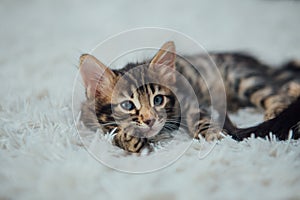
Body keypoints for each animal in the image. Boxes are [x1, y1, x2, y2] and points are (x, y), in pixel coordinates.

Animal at [79, 41, 300, 152]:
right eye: (127, 105)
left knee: (274, 92)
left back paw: (279, 105)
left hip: (241, 77)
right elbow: (111, 132)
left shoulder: (191, 99)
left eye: (158, 100)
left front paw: (211, 134)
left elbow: (200, 119)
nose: (150, 121)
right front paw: (127, 138)